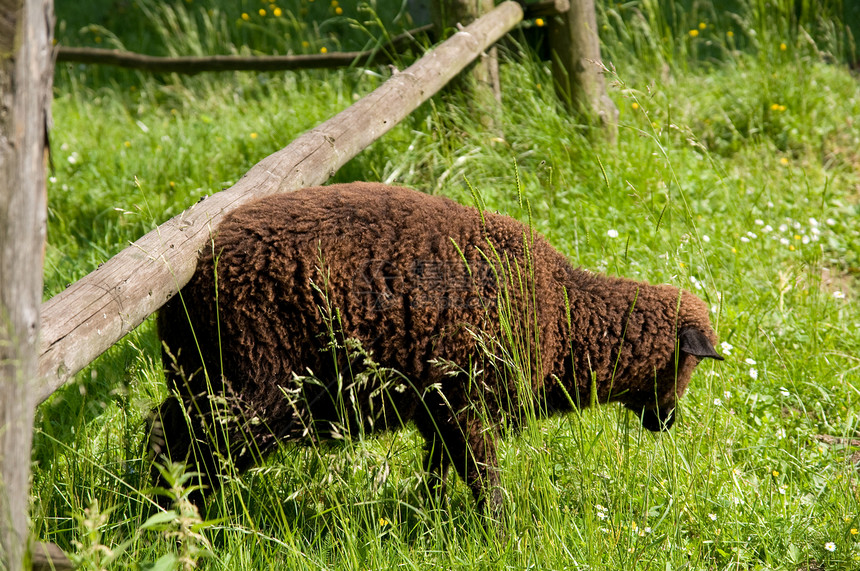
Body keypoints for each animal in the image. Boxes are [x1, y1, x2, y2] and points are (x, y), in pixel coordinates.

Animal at [148, 183, 720, 512]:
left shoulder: (438, 405)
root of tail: (193, 273)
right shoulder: (470, 402)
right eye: (687, 362)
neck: (565, 316)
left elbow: (438, 469)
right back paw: (178, 519)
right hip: (249, 388)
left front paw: (430, 515)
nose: (668, 424)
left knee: (169, 432)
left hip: (210, 379)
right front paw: (499, 530)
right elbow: (483, 475)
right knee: (181, 442)